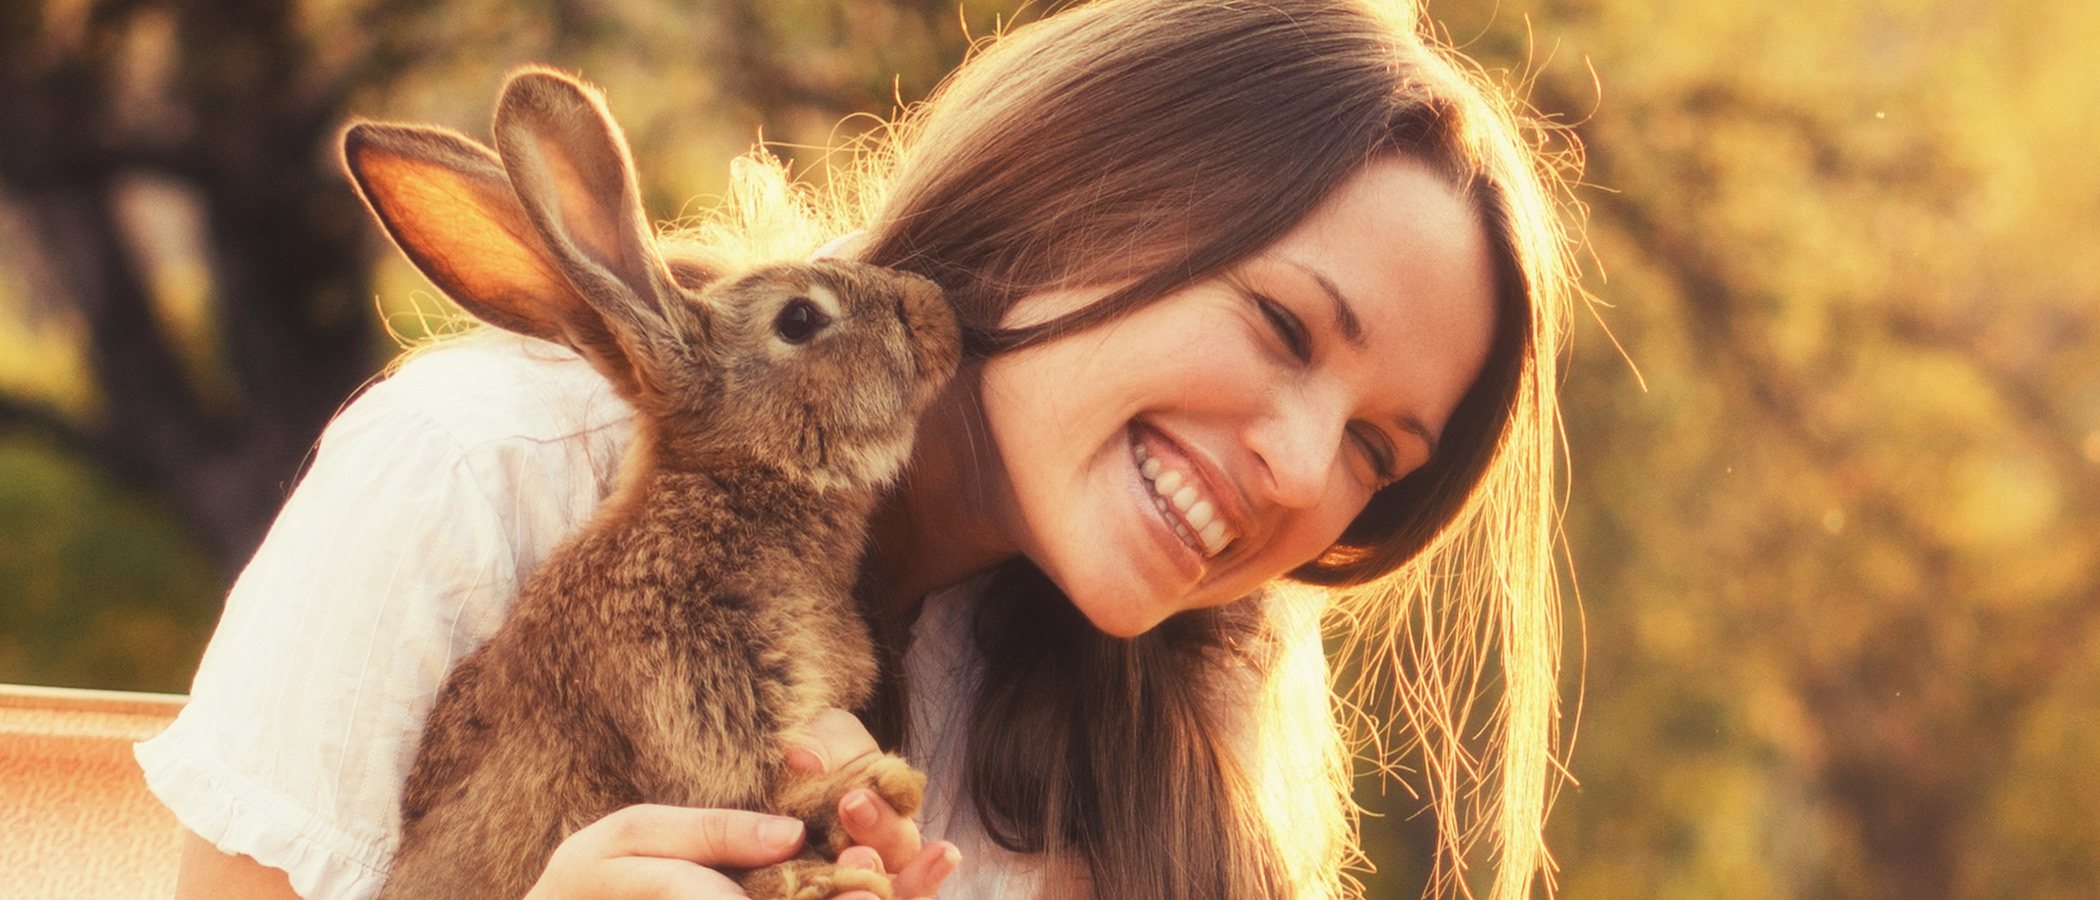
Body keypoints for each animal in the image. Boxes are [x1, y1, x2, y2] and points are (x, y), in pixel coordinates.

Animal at [342, 68, 961, 897]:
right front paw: (871, 808)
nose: (936, 310)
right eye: (799, 319)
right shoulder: (692, 713)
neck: (733, 485)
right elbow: (758, 813)